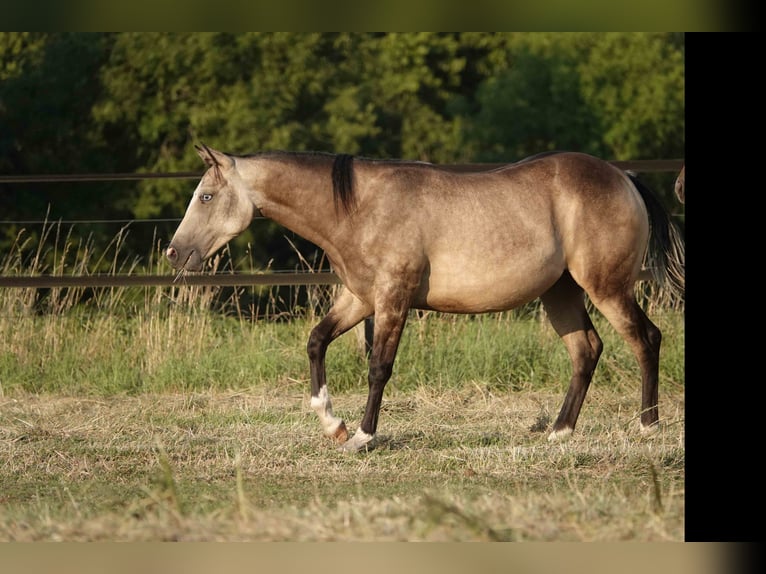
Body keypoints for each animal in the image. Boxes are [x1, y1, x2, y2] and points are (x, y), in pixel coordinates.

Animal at [166, 145, 685, 452]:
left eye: (206, 196)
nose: (174, 253)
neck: (357, 207)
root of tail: (624, 177)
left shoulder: (392, 298)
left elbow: (379, 367)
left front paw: (361, 436)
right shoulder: (360, 298)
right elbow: (316, 341)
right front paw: (331, 423)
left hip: (606, 287)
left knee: (646, 339)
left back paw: (648, 426)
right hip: (561, 294)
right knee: (587, 350)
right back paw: (560, 432)